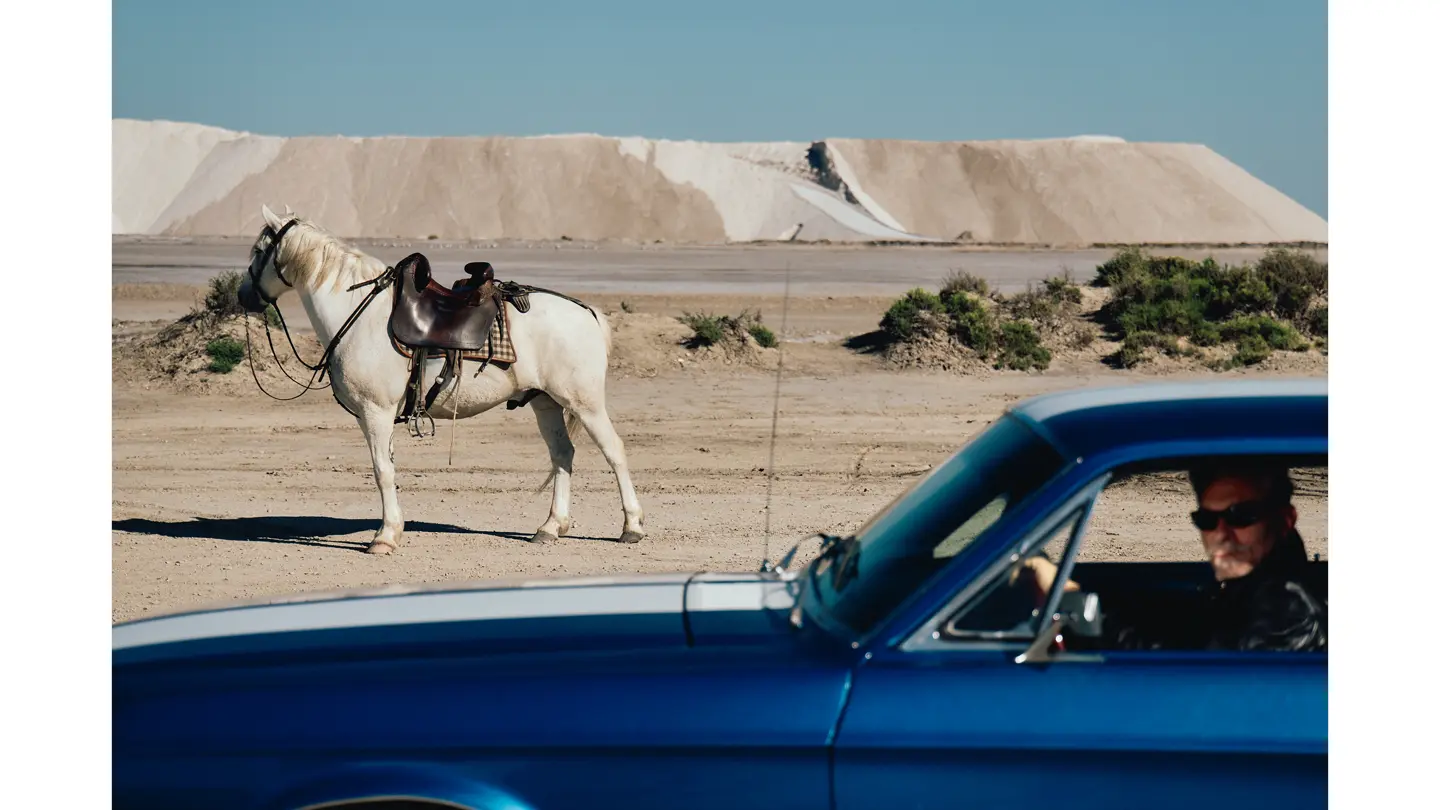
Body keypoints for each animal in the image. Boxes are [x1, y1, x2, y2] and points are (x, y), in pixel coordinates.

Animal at [236, 204, 646, 554]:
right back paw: (549, 527)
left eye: (259, 250)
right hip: (545, 402)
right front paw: (393, 528)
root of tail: (587, 311)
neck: (359, 314)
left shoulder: (376, 412)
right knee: (562, 455)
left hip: (584, 403)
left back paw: (632, 527)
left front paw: (384, 537)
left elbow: (382, 471)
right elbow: (389, 468)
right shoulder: (377, 416)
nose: (243, 296)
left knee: (614, 451)